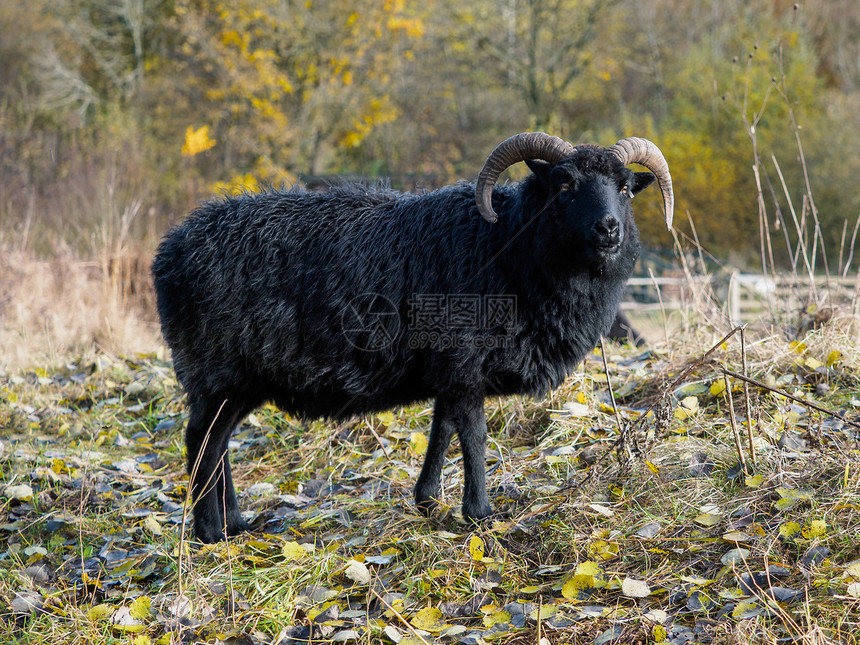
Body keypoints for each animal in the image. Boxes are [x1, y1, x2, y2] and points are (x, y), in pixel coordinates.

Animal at [153, 133, 672, 540]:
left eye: (625, 188)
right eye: (564, 184)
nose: (609, 229)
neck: (507, 248)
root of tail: (169, 252)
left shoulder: (449, 370)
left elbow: (441, 430)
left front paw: (428, 502)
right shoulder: (465, 363)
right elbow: (474, 436)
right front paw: (481, 515)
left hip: (239, 380)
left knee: (218, 443)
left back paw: (236, 523)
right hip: (220, 368)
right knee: (202, 442)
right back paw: (211, 533)